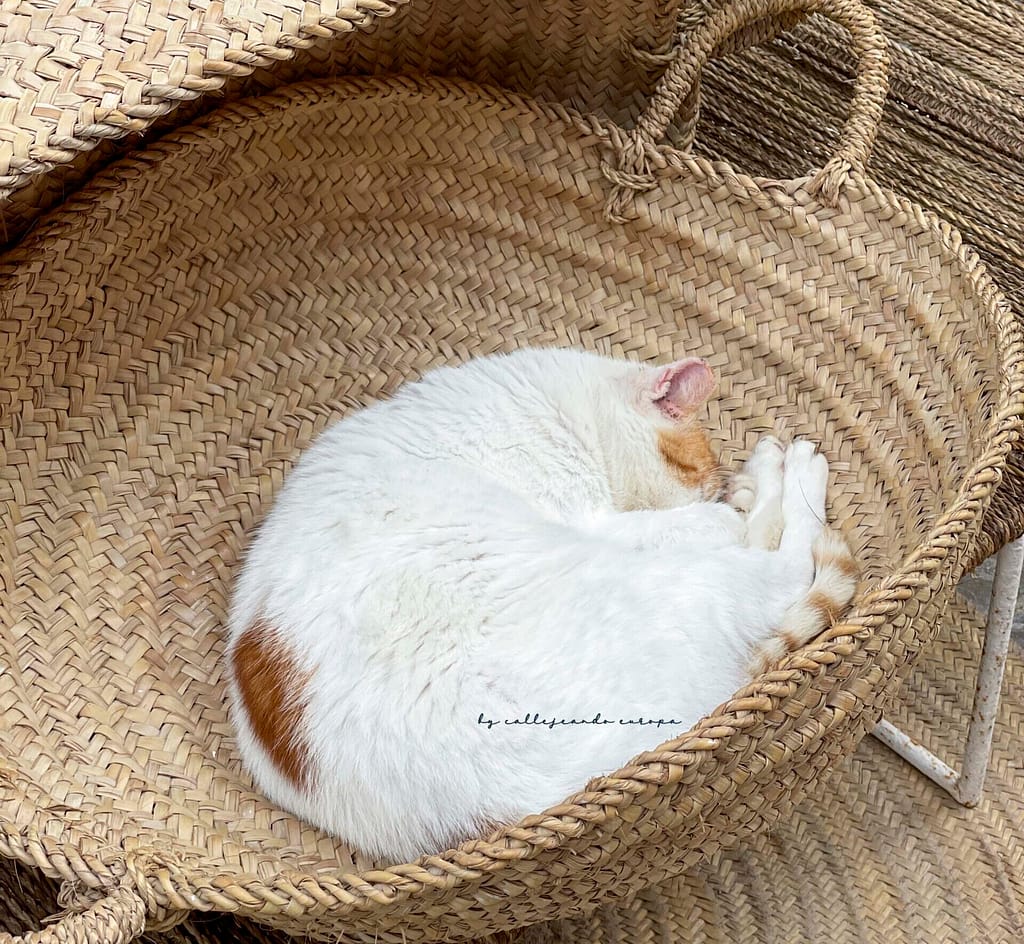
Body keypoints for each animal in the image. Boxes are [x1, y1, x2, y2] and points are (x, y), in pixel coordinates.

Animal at [228, 346, 860, 860]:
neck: (544, 406)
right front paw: (748, 490)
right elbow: (725, 526)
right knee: (787, 564)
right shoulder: (603, 519)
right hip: (674, 582)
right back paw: (792, 470)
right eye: (689, 478)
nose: (713, 491)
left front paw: (746, 484)